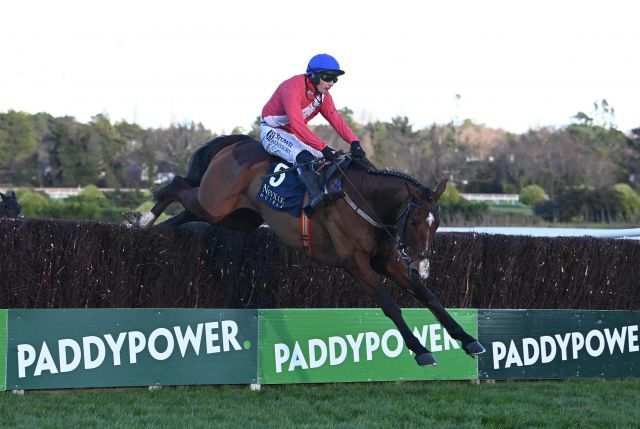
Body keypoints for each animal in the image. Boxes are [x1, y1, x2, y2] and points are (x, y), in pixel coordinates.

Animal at [129, 134, 484, 364]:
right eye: (414, 221)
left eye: (437, 223)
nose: (421, 263)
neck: (363, 199)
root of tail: (236, 143)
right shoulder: (354, 262)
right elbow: (389, 305)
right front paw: (420, 350)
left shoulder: (387, 262)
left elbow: (429, 297)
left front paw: (469, 340)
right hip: (215, 203)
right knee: (176, 184)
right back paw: (143, 218)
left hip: (235, 217)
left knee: (186, 213)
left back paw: (154, 228)